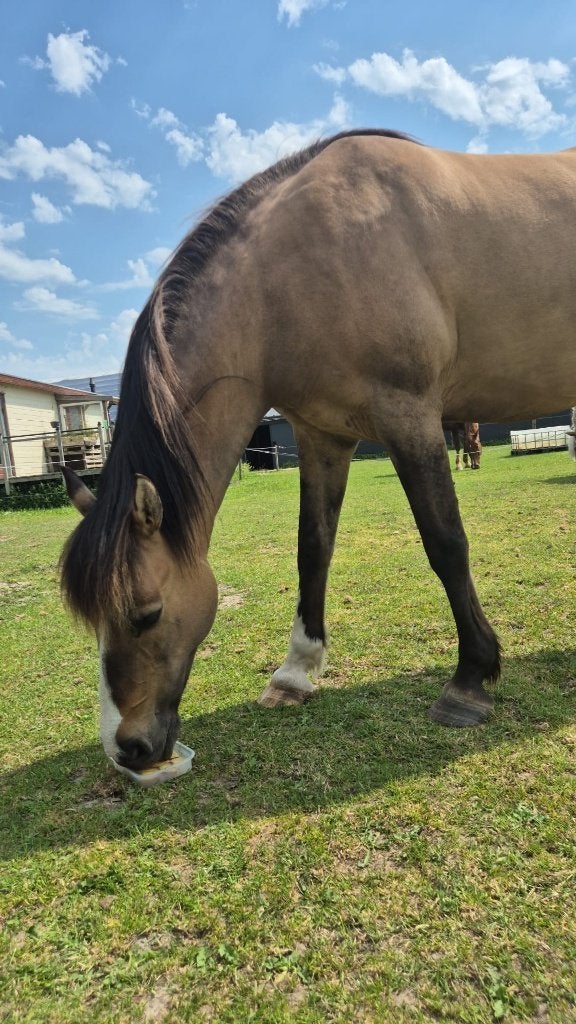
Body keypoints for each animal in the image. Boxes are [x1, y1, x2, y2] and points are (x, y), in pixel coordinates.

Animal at [60, 128, 576, 771]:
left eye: (147, 613)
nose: (127, 749)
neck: (291, 272)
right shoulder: (322, 435)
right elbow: (313, 549)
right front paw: (296, 671)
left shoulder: (410, 417)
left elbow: (446, 544)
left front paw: (471, 677)